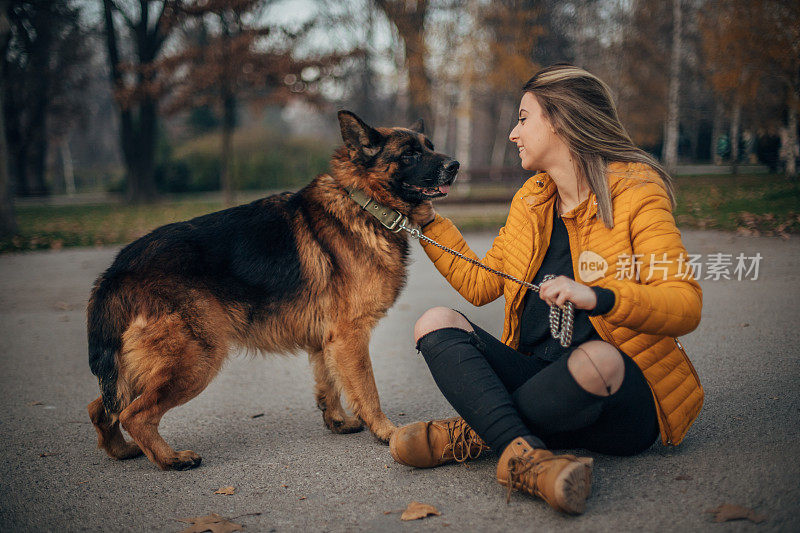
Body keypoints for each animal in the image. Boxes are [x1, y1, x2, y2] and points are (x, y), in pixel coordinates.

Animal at [86, 110, 456, 468]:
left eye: (431, 146)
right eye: (409, 154)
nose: (455, 166)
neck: (364, 202)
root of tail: (117, 269)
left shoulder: (327, 341)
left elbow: (329, 382)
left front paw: (337, 421)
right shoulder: (350, 336)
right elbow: (367, 389)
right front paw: (384, 431)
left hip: (139, 369)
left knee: (101, 409)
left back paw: (123, 451)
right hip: (195, 360)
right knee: (134, 414)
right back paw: (171, 459)